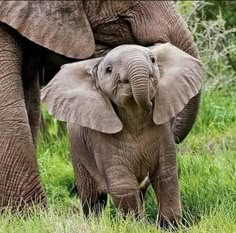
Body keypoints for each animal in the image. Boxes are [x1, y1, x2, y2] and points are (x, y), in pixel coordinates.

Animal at [41, 43, 202, 228]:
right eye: (109, 70)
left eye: (153, 59)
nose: (150, 103)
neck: (135, 111)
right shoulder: (101, 138)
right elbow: (123, 184)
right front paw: (134, 227)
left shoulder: (163, 130)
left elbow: (165, 175)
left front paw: (170, 227)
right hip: (77, 152)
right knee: (93, 199)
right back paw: (94, 225)